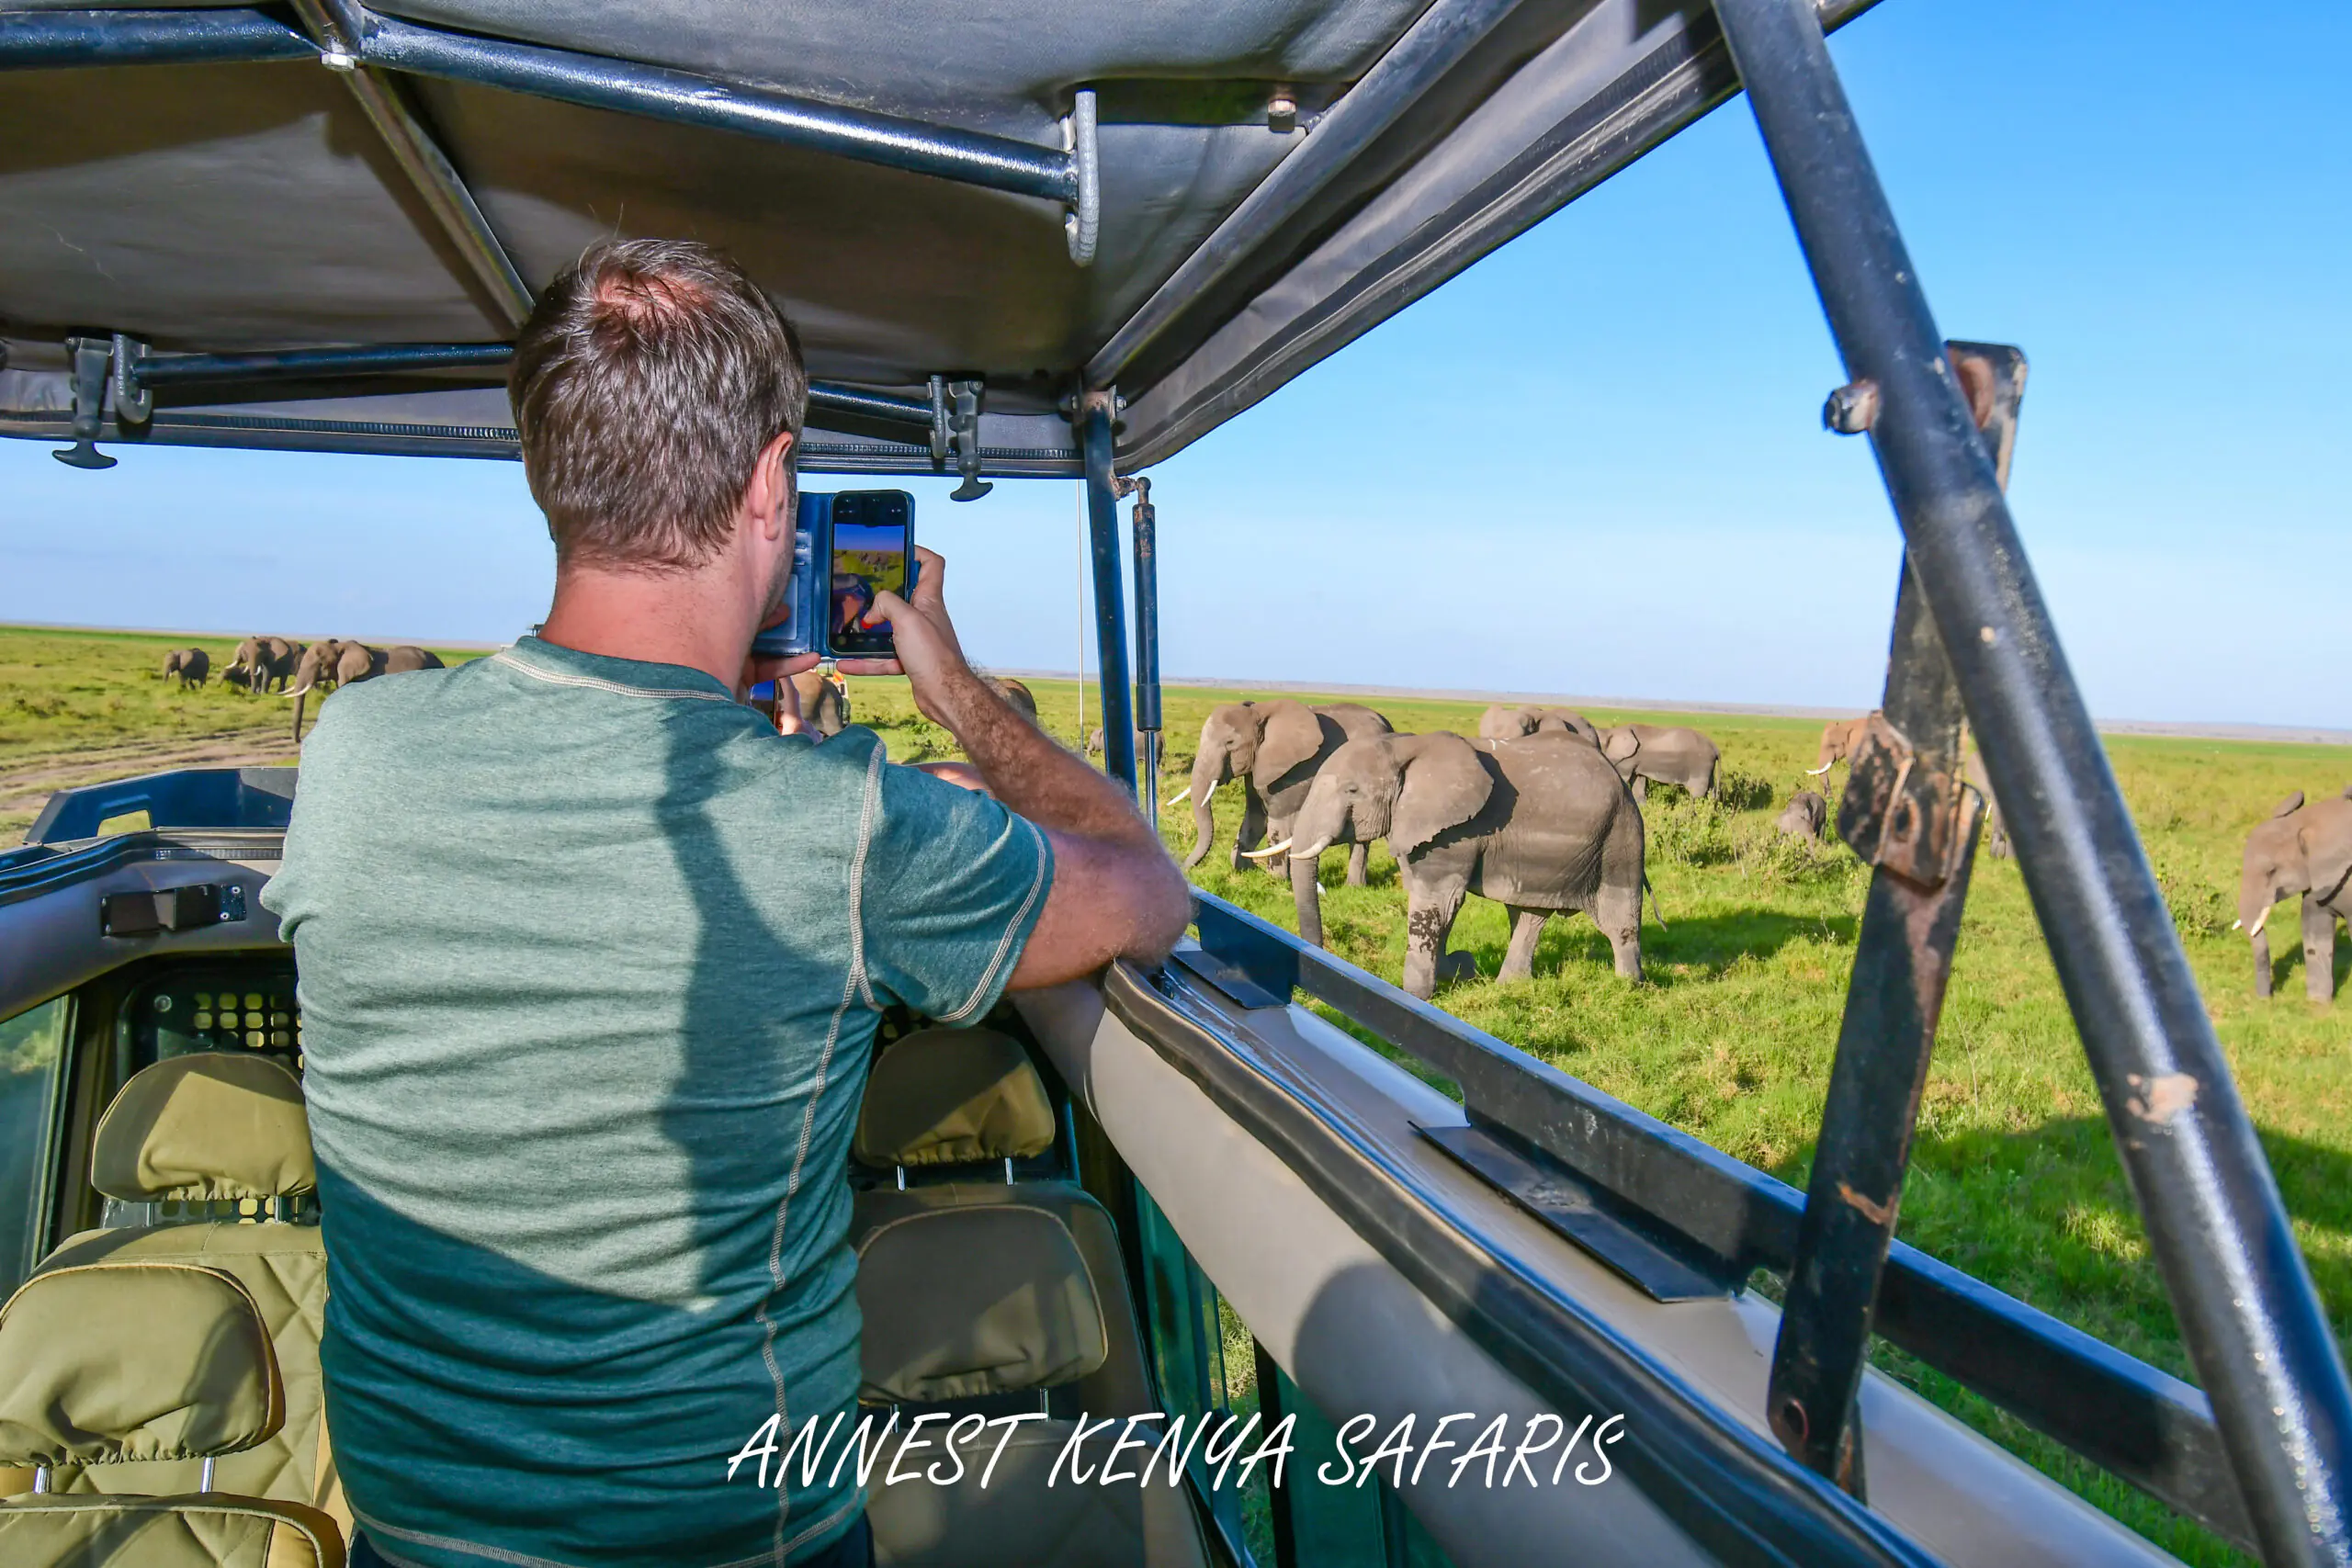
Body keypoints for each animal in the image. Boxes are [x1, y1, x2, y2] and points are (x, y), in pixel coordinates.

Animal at [1174, 701, 1394, 932]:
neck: (1259, 714)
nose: (1185, 871)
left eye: (1230, 743)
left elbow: (1277, 822)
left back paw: (1354, 887)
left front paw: (1276, 881)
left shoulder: (1295, 771)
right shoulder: (1258, 766)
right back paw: (1355, 888)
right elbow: (1254, 818)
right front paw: (1244, 871)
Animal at [1281, 730, 1646, 998]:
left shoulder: (1457, 829)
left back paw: (1627, 987)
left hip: (1620, 834)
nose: (1319, 961)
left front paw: (1417, 995)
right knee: (1529, 913)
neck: (1404, 746)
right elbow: (1440, 906)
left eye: (1352, 790)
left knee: (1618, 917)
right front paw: (1461, 967)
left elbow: (1438, 902)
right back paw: (1510, 986)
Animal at [1598, 723, 1718, 802]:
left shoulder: (1628, 759)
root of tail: (1714, 747)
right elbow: (1638, 784)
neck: (1610, 731)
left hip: (1700, 766)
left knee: (1697, 794)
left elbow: (1623, 779)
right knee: (1711, 792)